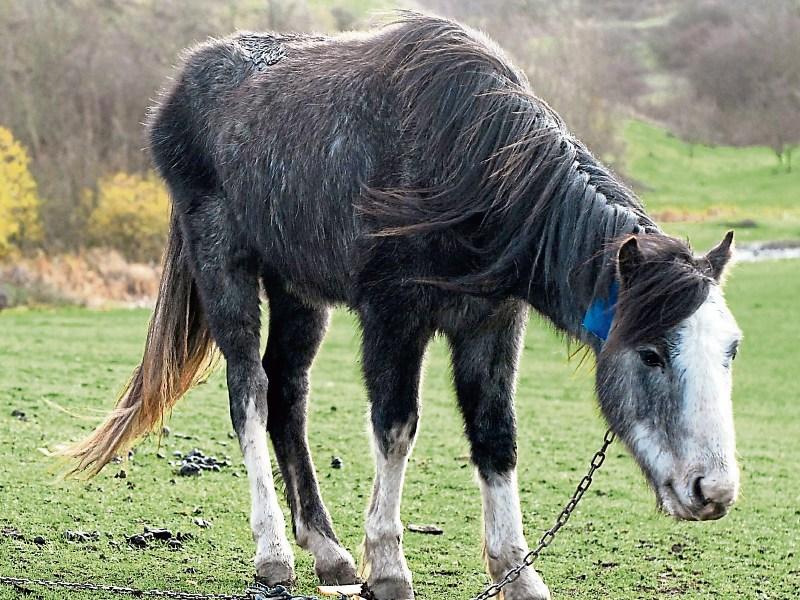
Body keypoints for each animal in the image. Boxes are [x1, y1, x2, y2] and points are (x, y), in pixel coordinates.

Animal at [64, 13, 742, 600]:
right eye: (651, 354)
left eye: (730, 351)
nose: (713, 491)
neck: (473, 167)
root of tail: (176, 93)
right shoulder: (393, 318)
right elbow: (395, 428)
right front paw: (388, 566)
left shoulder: (492, 326)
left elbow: (496, 436)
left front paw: (517, 574)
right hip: (224, 266)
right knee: (250, 393)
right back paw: (275, 553)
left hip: (298, 291)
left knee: (289, 394)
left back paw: (329, 552)